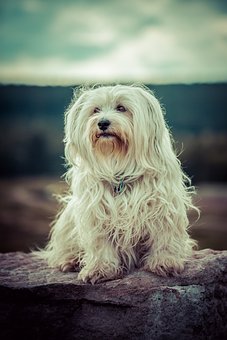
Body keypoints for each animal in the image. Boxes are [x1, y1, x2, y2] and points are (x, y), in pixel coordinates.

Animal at [40, 83, 198, 282]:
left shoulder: (163, 208)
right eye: (96, 110)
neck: (120, 169)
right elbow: (101, 244)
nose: (102, 123)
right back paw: (70, 260)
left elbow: (164, 238)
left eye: (121, 108)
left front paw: (164, 261)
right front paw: (100, 268)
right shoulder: (97, 214)